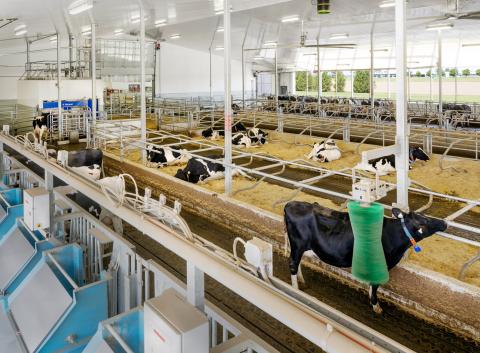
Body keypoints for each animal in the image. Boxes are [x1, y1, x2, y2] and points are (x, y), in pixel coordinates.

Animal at [284, 199, 446, 312]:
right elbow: (375, 285)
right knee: (292, 264)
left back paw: (301, 280)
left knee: (297, 263)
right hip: (298, 244)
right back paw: (295, 288)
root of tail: (291, 204)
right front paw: (376, 306)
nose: (444, 223)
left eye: (425, 216)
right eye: (423, 224)